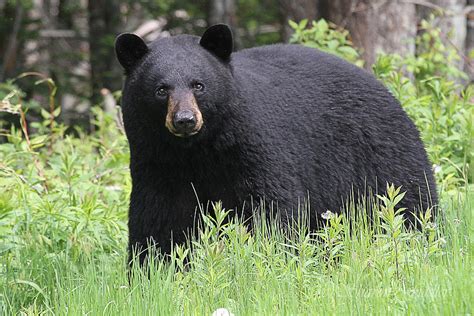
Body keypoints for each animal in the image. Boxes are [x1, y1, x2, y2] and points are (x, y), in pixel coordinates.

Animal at [114, 24, 436, 262]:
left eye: (198, 85)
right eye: (161, 89)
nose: (185, 120)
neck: (197, 151)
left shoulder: (254, 145)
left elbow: (271, 205)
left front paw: (271, 256)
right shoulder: (157, 161)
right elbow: (158, 218)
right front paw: (151, 270)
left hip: (381, 157)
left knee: (410, 205)